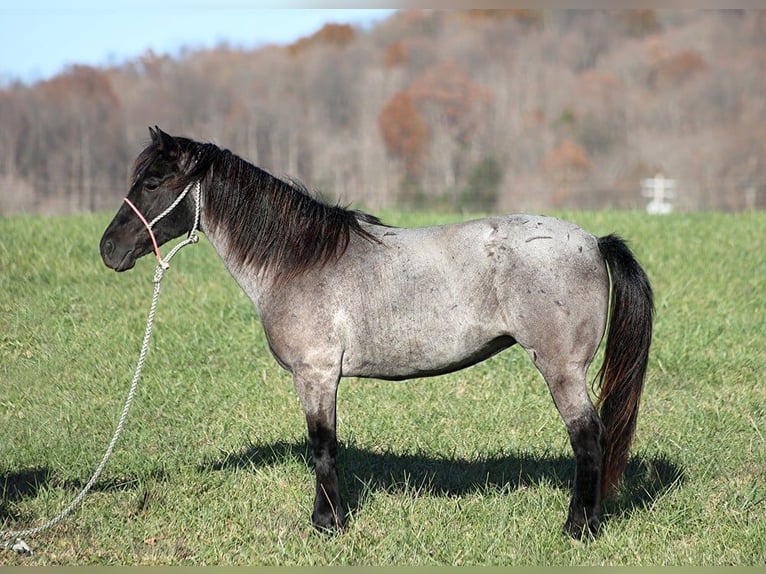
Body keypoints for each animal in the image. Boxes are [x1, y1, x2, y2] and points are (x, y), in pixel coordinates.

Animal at [100, 126, 653, 539]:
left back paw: (578, 528)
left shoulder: (316, 375)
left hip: (562, 370)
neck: (298, 261)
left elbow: (323, 448)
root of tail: (592, 241)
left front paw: (327, 524)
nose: (109, 249)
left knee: (588, 438)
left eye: (153, 182)